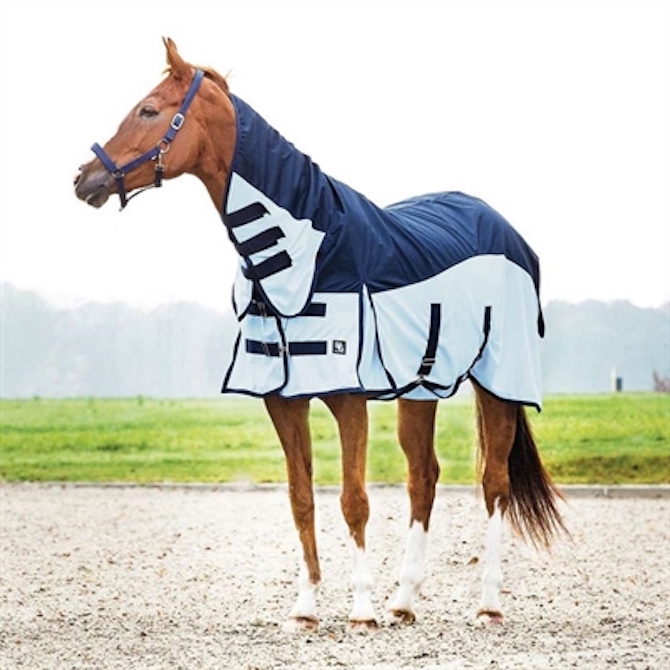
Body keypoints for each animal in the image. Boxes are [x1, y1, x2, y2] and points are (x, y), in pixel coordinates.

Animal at [75, 38, 566, 632]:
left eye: (148, 110)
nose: (83, 178)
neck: (309, 252)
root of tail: (502, 226)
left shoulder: (347, 397)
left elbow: (354, 499)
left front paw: (360, 610)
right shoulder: (283, 399)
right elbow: (301, 496)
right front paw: (306, 609)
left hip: (498, 380)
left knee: (494, 482)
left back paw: (487, 603)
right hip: (422, 389)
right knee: (423, 476)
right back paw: (404, 600)